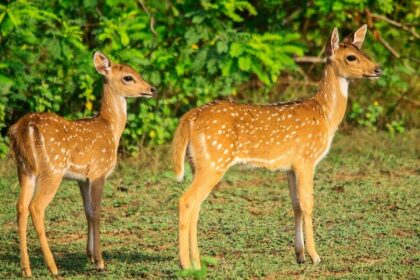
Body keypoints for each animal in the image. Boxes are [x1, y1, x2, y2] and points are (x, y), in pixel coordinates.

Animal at [8, 51, 156, 276]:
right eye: (128, 77)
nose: (152, 89)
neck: (110, 129)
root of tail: (26, 127)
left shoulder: (82, 178)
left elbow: (87, 211)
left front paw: (90, 256)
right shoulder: (98, 171)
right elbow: (96, 211)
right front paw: (100, 261)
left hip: (24, 169)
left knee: (21, 207)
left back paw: (26, 269)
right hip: (53, 170)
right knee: (36, 207)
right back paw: (53, 267)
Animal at [172, 25, 382, 270]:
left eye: (363, 52)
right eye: (351, 57)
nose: (378, 69)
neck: (325, 115)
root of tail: (190, 117)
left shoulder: (289, 167)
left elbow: (295, 205)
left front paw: (299, 255)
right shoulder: (306, 160)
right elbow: (308, 203)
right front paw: (315, 256)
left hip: (200, 163)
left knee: (196, 205)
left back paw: (197, 263)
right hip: (214, 162)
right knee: (186, 201)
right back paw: (186, 265)